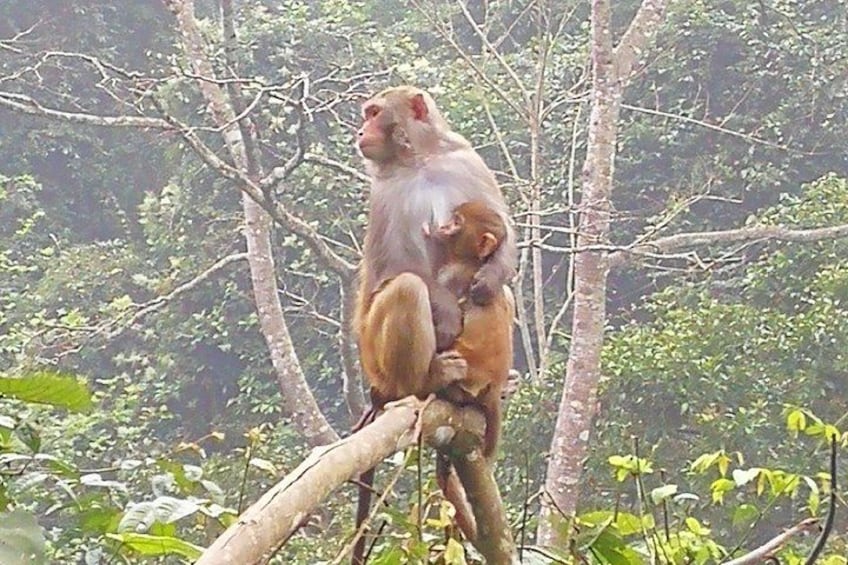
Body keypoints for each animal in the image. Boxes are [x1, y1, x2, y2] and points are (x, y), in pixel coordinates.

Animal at [351, 86, 516, 563]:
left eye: (373, 113)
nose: (361, 131)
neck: (419, 161)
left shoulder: (465, 158)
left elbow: (506, 236)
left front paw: (489, 277)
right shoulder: (386, 194)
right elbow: (401, 268)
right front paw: (445, 311)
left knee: (503, 296)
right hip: (374, 353)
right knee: (407, 290)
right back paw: (424, 382)